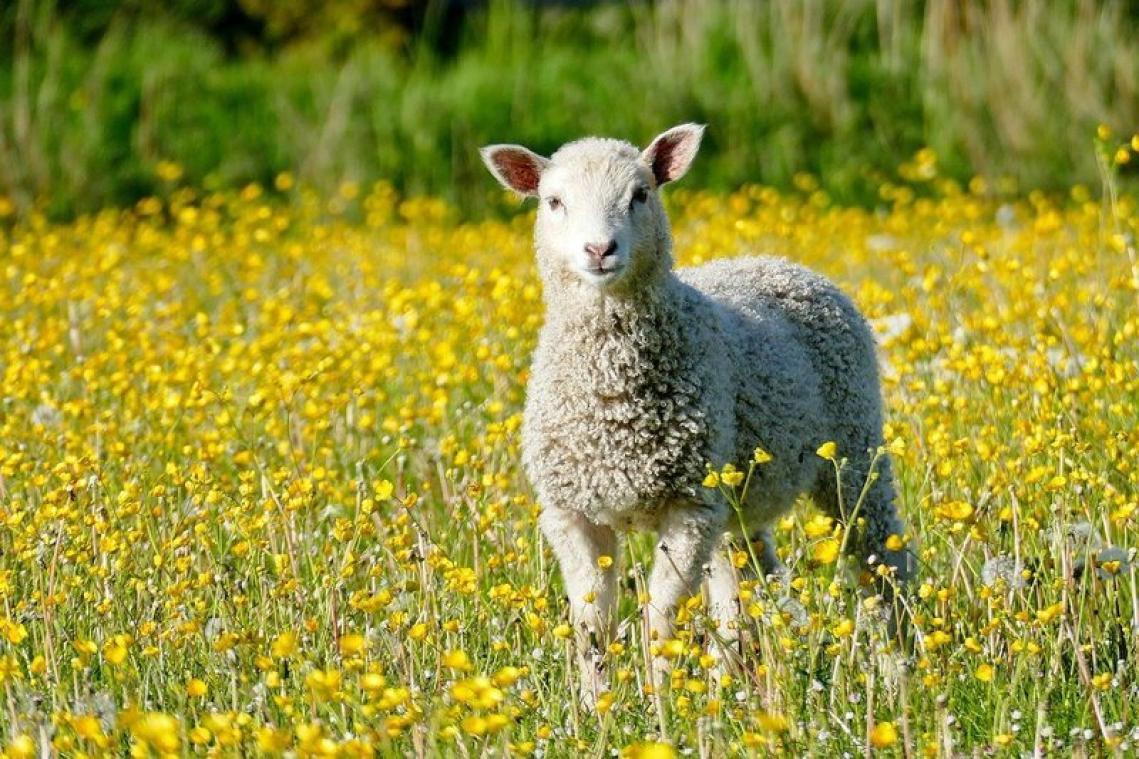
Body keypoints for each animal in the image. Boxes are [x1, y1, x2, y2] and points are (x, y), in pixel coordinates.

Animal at [480, 122, 915, 697]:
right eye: (554, 201)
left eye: (640, 194)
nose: (599, 249)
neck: (614, 397)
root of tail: (779, 262)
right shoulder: (571, 511)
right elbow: (592, 622)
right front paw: (597, 704)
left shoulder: (689, 507)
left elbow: (661, 617)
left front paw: (659, 699)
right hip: (739, 497)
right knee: (747, 582)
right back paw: (747, 685)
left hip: (854, 449)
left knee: (880, 559)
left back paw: (902, 671)